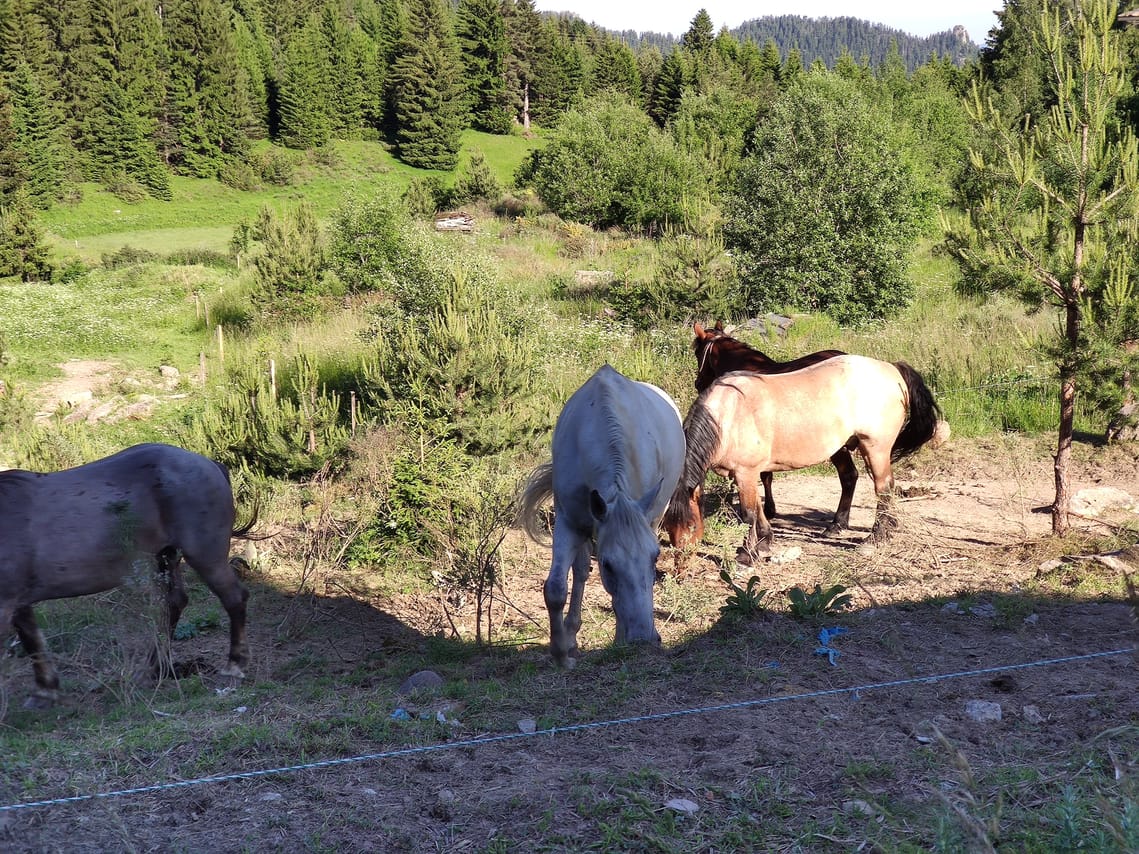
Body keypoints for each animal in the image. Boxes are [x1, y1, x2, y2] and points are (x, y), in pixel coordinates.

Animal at [0, 443, 255, 708]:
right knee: (174, 604)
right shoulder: (17, 600)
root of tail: (208, 463)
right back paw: (152, 670)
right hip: (164, 557)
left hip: (205, 556)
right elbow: (32, 640)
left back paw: (234, 667)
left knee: (234, 598)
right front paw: (45, 691)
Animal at [518, 365, 685, 667]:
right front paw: (561, 653)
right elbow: (556, 588)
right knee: (581, 570)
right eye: (608, 565)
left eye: (656, 558)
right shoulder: (569, 522)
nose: (644, 638)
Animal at [663, 355, 940, 562]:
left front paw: (747, 554)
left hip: (875, 448)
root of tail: (892, 369)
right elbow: (760, 509)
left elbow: (749, 513)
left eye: (691, 526)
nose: (681, 564)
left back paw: (876, 538)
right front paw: (765, 541)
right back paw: (842, 526)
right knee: (856, 480)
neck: (728, 415)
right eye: (666, 527)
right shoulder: (746, 474)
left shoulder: (745, 472)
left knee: (883, 488)